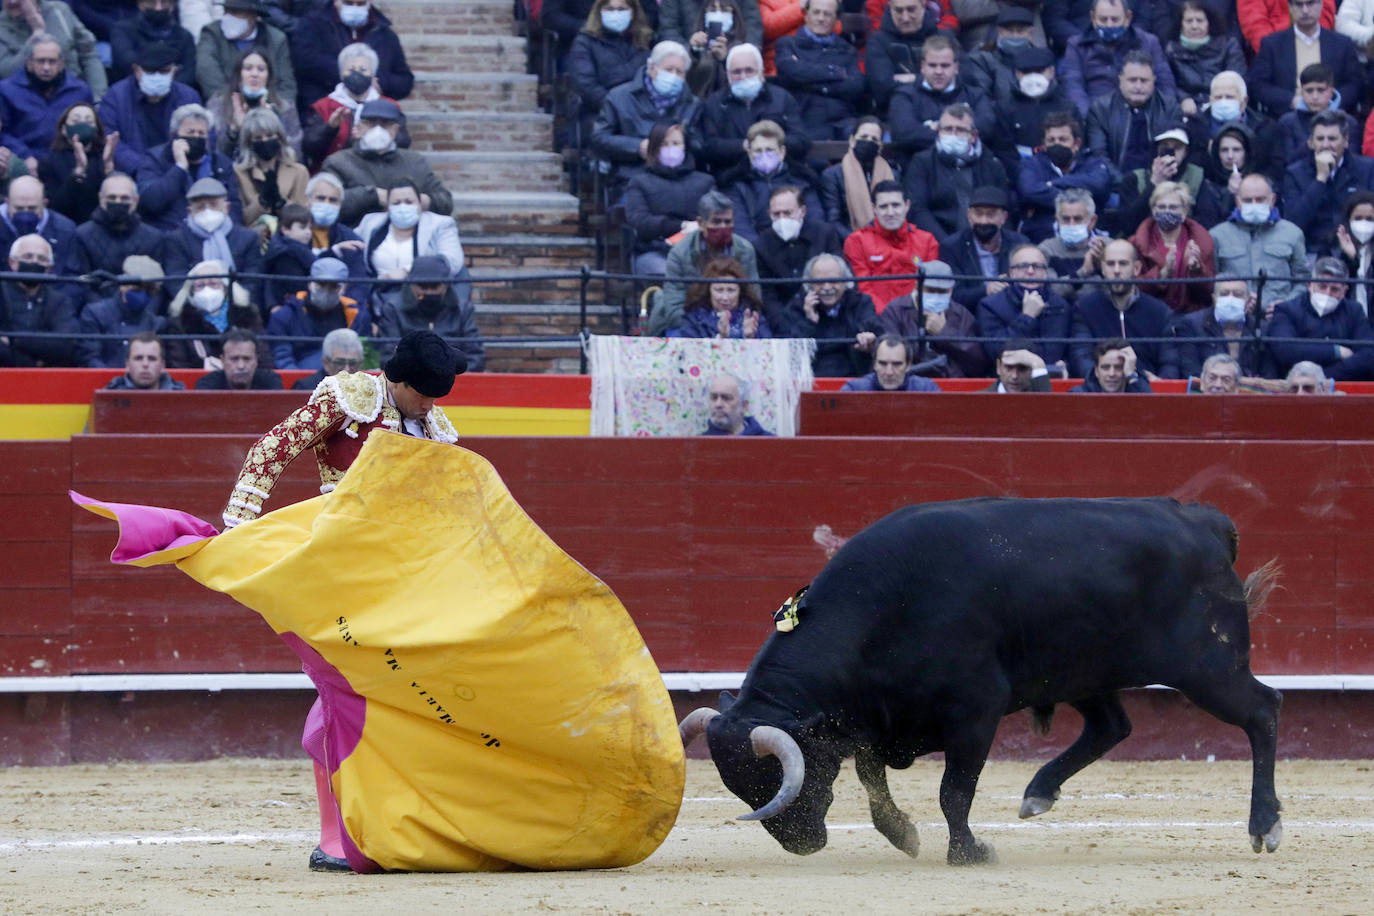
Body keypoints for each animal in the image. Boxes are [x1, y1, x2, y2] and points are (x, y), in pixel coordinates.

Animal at [681, 497, 1280, 862]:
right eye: (739, 786)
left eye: (775, 779)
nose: (802, 845)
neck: (886, 609)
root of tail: (1205, 523)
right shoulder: (876, 720)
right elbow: (874, 782)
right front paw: (904, 835)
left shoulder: (974, 713)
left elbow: (954, 790)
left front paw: (969, 854)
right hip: (1080, 672)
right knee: (1112, 726)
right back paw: (1038, 793)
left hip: (1208, 667)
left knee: (1262, 710)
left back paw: (1265, 825)